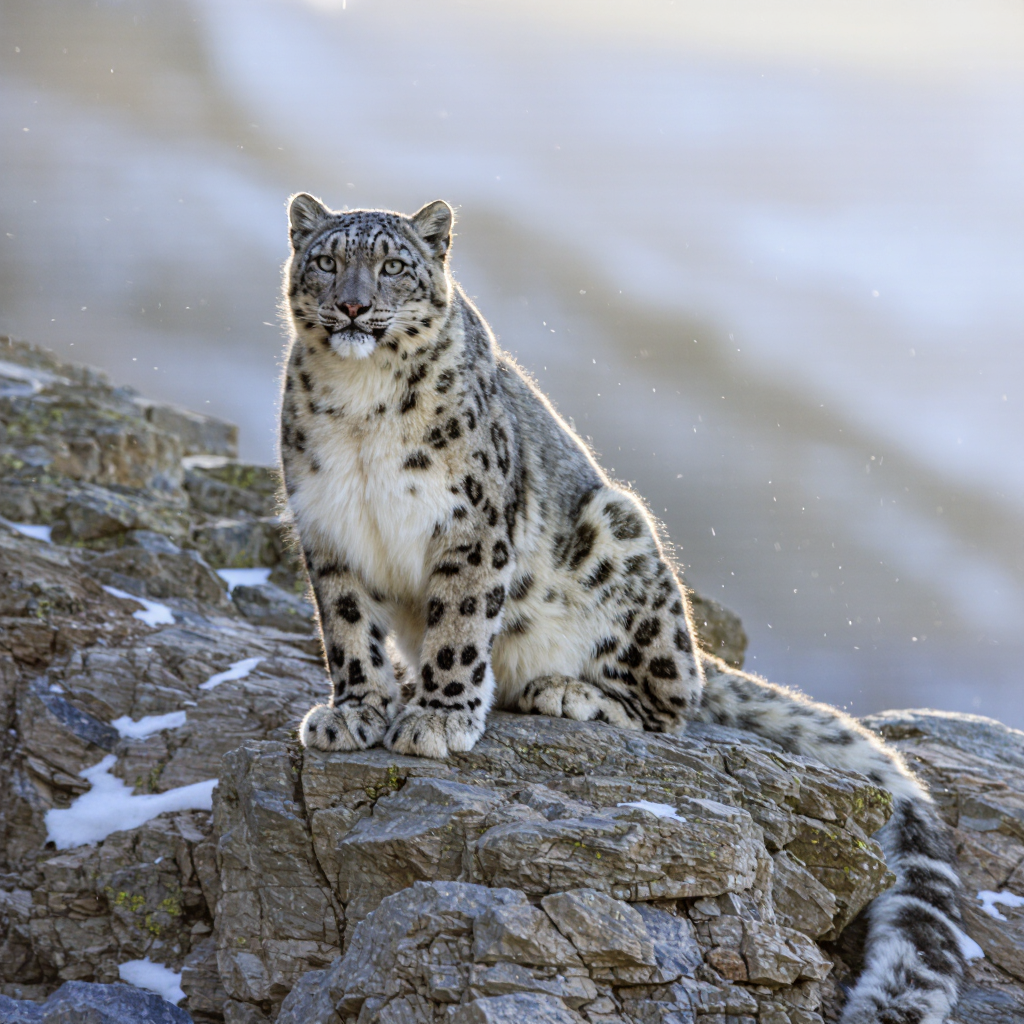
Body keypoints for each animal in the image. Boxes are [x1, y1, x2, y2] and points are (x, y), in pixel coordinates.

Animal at [279, 193, 967, 1024]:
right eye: (326, 260)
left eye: (391, 266)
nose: (353, 305)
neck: (360, 406)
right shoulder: (328, 532)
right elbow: (347, 631)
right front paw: (353, 711)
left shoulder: (471, 527)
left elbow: (460, 625)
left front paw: (438, 717)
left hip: (622, 537)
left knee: (671, 704)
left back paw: (566, 691)